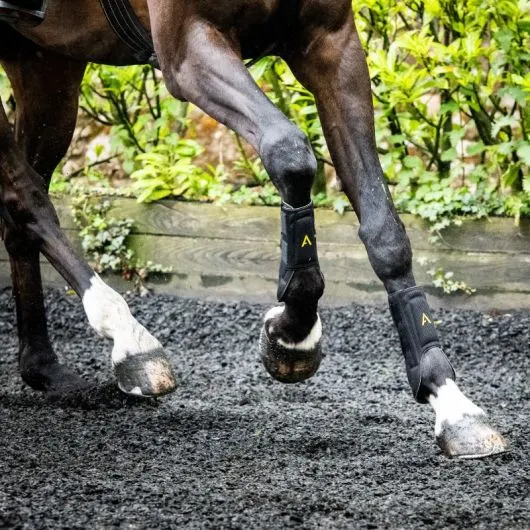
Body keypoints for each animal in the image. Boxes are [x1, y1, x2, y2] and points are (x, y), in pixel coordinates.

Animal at [0, 0, 506, 456]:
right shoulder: (189, 49)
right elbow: (290, 152)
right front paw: (292, 330)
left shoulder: (332, 42)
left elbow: (384, 229)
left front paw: (449, 400)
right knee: (24, 195)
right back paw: (129, 340)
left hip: (46, 62)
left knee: (20, 210)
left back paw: (45, 369)